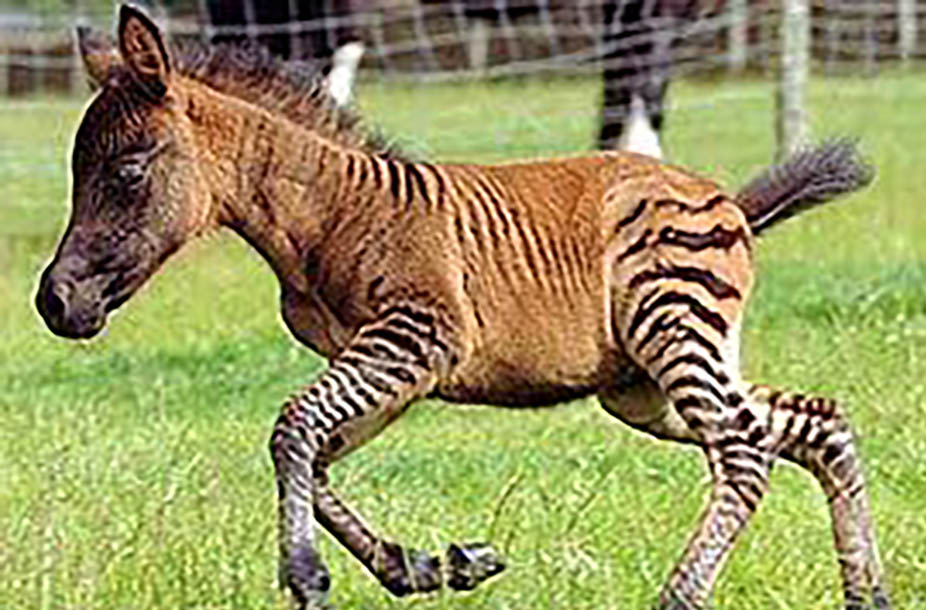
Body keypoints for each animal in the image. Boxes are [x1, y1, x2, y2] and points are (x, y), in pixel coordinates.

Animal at [34, 5, 892, 608]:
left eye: (129, 171)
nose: (54, 303)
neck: (330, 210)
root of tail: (727, 201)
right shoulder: (395, 365)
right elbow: (318, 457)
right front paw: (427, 566)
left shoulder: (417, 338)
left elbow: (294, 431)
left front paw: (307, 574)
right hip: (645, 384)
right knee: (813, 426)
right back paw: (868, 594)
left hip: (673, 335)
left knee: (745, 454)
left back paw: (678, 598)